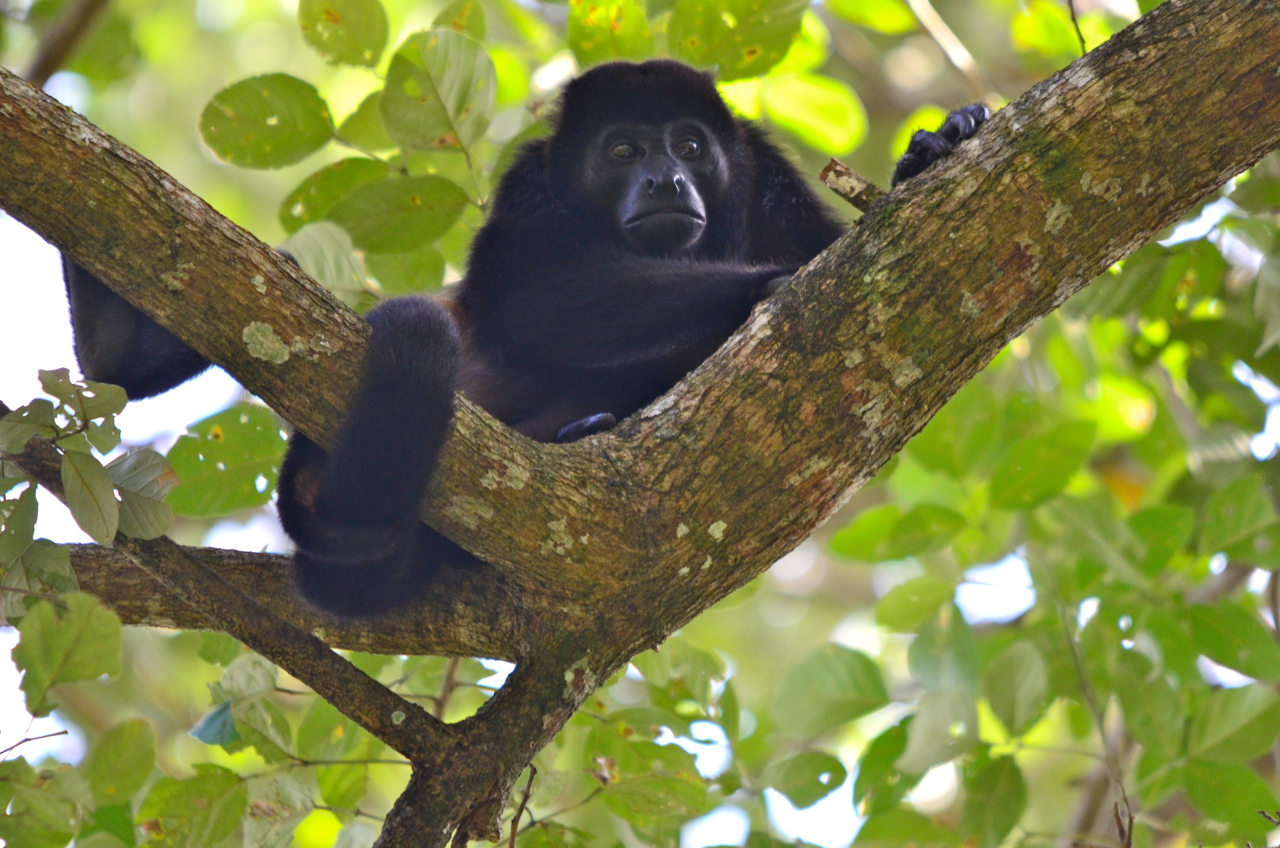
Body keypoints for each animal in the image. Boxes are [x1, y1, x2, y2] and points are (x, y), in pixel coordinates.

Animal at [62, 59, 987, 617]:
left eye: (690, 145)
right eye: (623, 149)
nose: (667, 178)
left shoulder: (764, 170)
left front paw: (936, 147)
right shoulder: (528, 178)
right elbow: (528, 298)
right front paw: (770, 281)